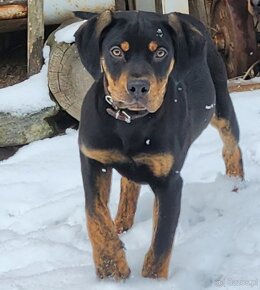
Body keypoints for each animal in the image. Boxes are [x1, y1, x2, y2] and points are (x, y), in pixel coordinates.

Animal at [74, 10, 244, 280]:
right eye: (116, 51)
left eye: (161, 52)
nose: (138, 87)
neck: (130, 122)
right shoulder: (93, 159)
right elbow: (95, 214)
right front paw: (111, 266)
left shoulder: (169, 182)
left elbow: (162, 239)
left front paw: (152, 280)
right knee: (128, 183)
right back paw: (121, 222)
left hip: (221, 108)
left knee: (231, 147)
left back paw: (235, 183)